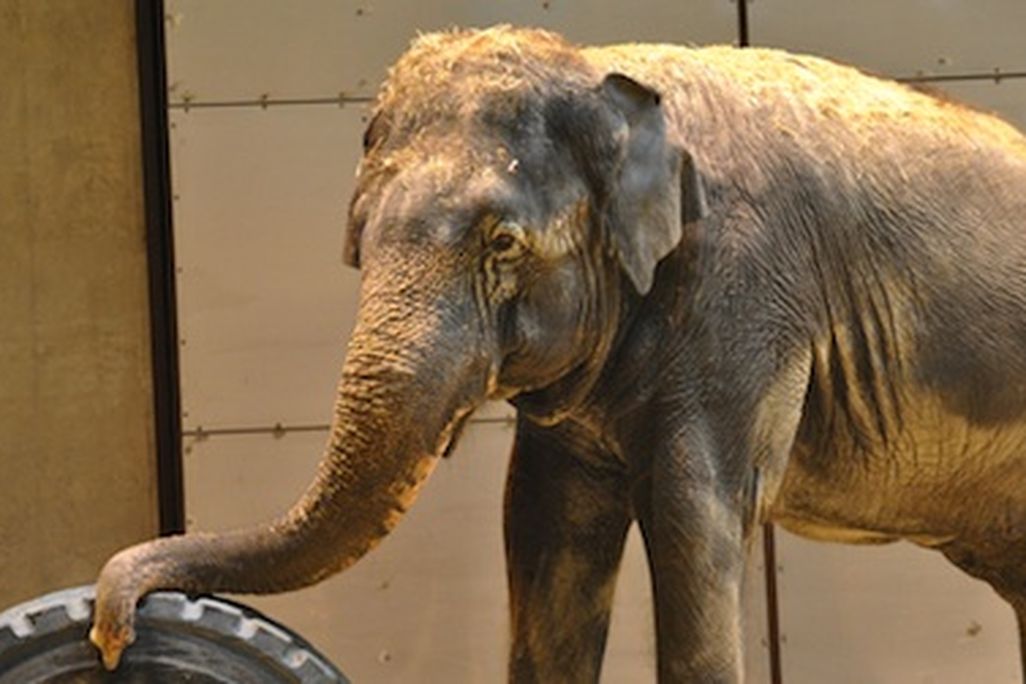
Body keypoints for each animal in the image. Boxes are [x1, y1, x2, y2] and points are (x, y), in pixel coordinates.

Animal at [91, 25, 1026, 683]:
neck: (608, 76)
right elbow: (543, 521)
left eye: (502, 243)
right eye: (358, 241)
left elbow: (692, 511)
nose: (112, 631)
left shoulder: (743, 294)